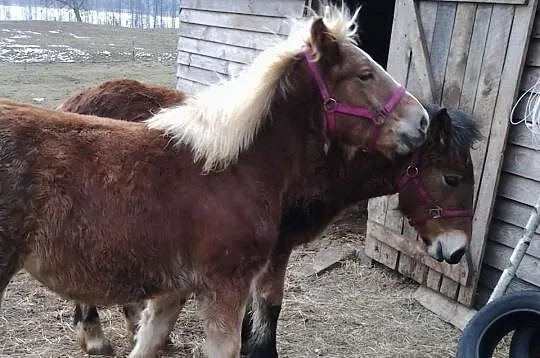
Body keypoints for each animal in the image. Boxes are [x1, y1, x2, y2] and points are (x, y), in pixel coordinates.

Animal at [0, 4, 430, 356]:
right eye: (365, 74)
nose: (423, 120)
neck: (234, 168)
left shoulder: (175, 288)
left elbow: (150, 339)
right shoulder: (227, 285)